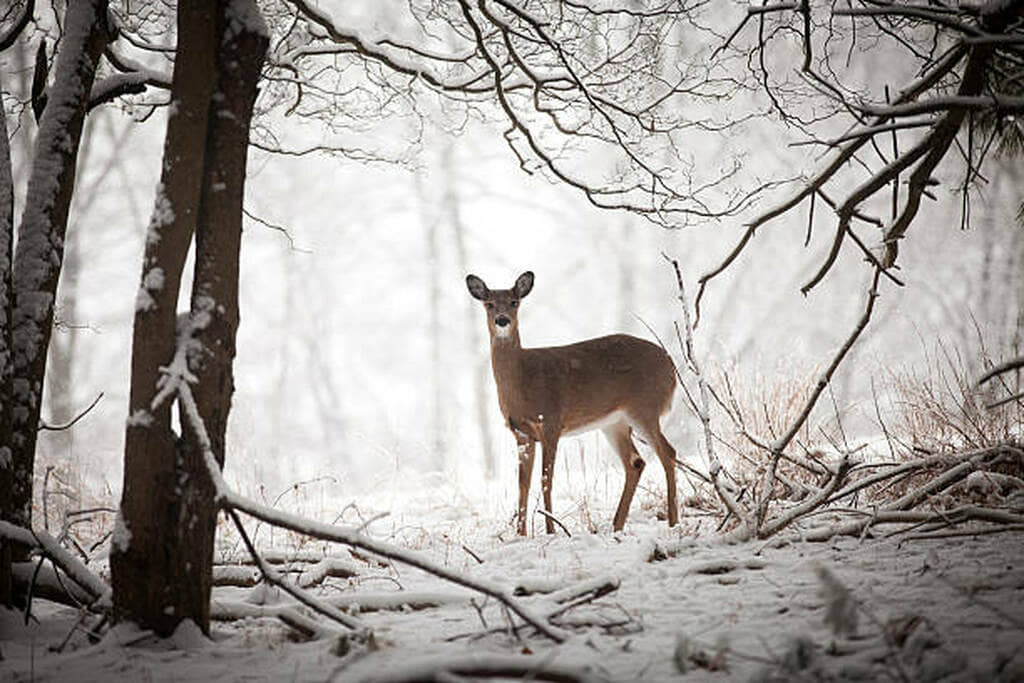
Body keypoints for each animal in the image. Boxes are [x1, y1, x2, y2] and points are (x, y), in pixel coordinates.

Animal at [466, 271, 680, 535]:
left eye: (515, 302)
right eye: (489, 303)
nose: (502, 320)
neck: (523, 378)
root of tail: (671, 366)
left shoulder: (551, 421)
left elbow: (546, 480)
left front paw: (551, 529)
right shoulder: (522, 433)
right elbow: (522, 484)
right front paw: (521, 534)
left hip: (645, 407)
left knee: (668, 453)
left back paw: (673, 522)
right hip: (614, 422)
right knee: (636, 462)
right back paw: (616, 526)